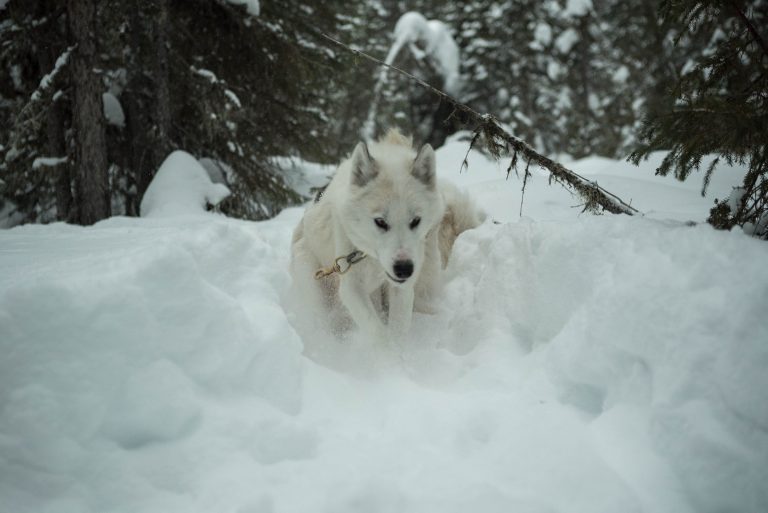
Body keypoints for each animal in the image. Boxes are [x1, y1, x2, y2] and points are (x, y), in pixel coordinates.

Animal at [292, 128, 484, 340]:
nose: (404, 269)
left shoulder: (404, 286)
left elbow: (398, 329)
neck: (372, 260)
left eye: (415, 220)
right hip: (312, 281)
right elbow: (378, 332)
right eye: (380, 222)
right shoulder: (351, 286)